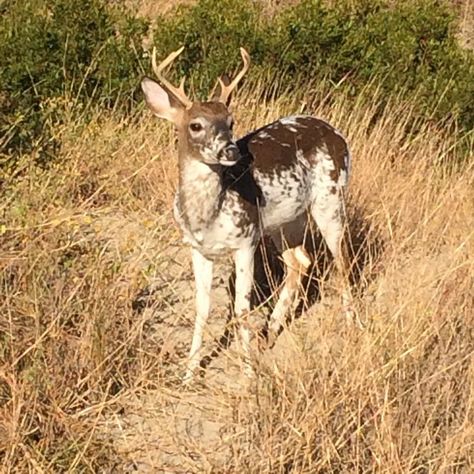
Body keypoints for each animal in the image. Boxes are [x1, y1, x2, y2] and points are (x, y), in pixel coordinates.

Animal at [143, 46, 358, 384]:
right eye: (195, 125)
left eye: (231, 122)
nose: (231, 151)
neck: (208, 217)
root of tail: (336, 132)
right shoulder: (197, 249)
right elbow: (202, 308)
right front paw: (189, 373)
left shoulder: (245, 241)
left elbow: (241, 307)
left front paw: (247, 373)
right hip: (284, 220)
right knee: (300, 260)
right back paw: (269, 331)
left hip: (330, 198)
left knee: (343, 260)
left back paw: (350, 326)